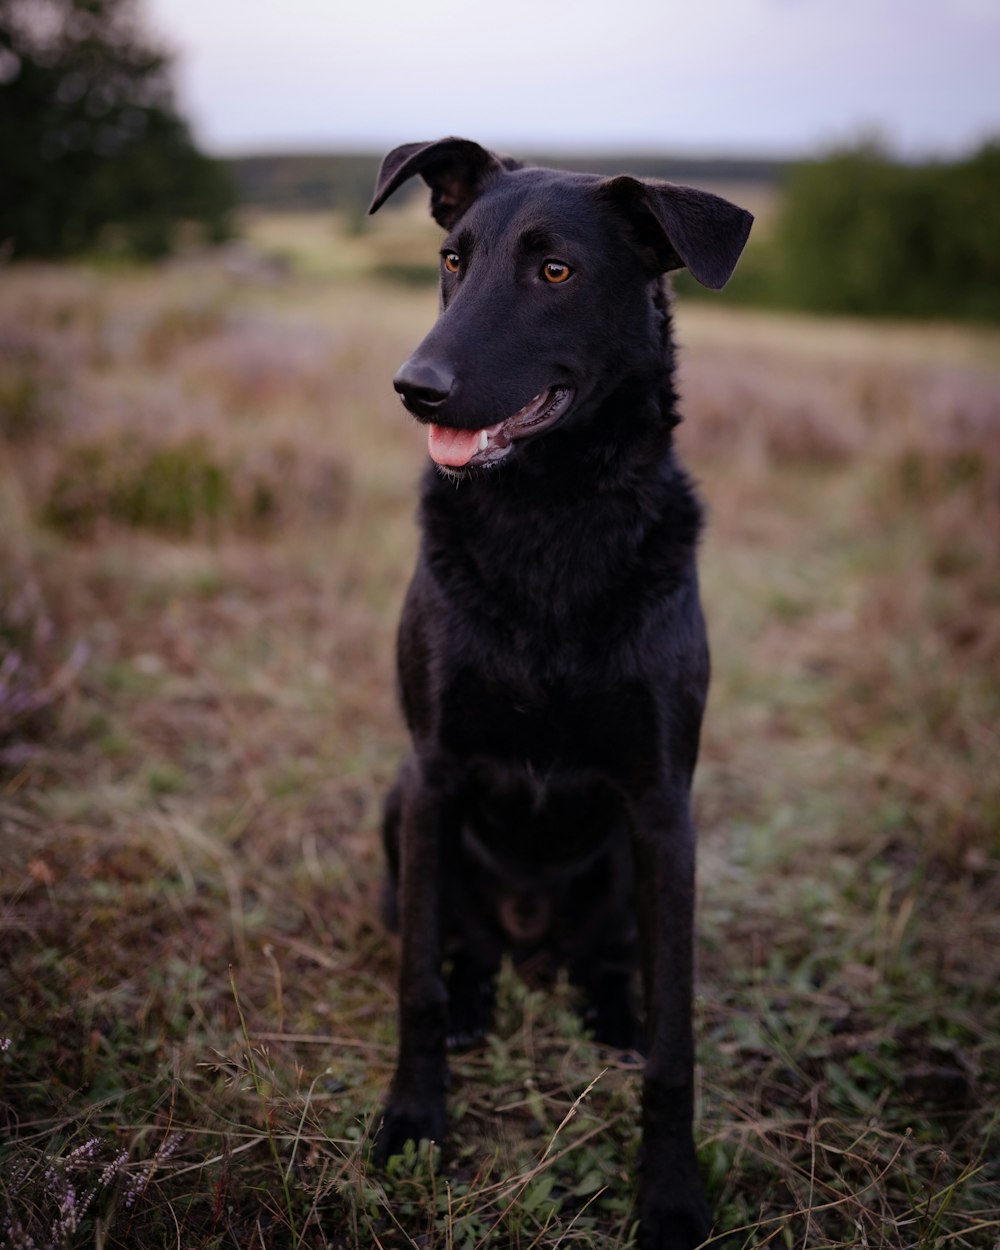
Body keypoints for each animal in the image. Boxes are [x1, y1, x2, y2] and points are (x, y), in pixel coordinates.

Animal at [367, 136, 750, 1250]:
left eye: (555, 271)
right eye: (453, 260)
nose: (415, 386)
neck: (550, 519)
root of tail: (530, 929)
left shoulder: (662, 803)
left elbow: (676, 1045)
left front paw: (669, 1196)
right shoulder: (435, 773)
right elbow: (413, 983)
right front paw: (414, 1125)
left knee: (612, 963)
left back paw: (610, 1013)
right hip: (400, 810)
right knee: (459, 947)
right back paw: (473, 999)